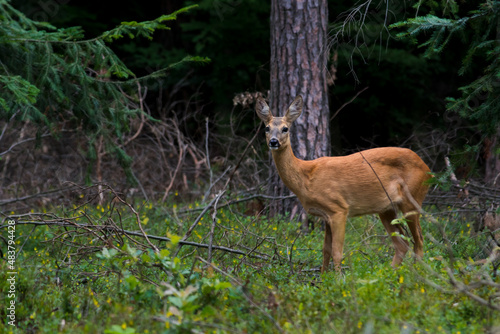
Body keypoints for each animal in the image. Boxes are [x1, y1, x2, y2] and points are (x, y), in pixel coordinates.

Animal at [256, 95, 432, 272]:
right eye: (267, 128)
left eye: (285, 128)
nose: (273, 142)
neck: (306, 178)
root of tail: (427, 167)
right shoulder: (325, 215)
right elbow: (325, 250)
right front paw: (323, 276)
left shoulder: (339, 209)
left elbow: (337, 252)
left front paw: (338, 278)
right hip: (386, 208)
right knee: (402, 243)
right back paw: (391, 273)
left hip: (412, 198)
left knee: (419, 240)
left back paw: (417, 273)